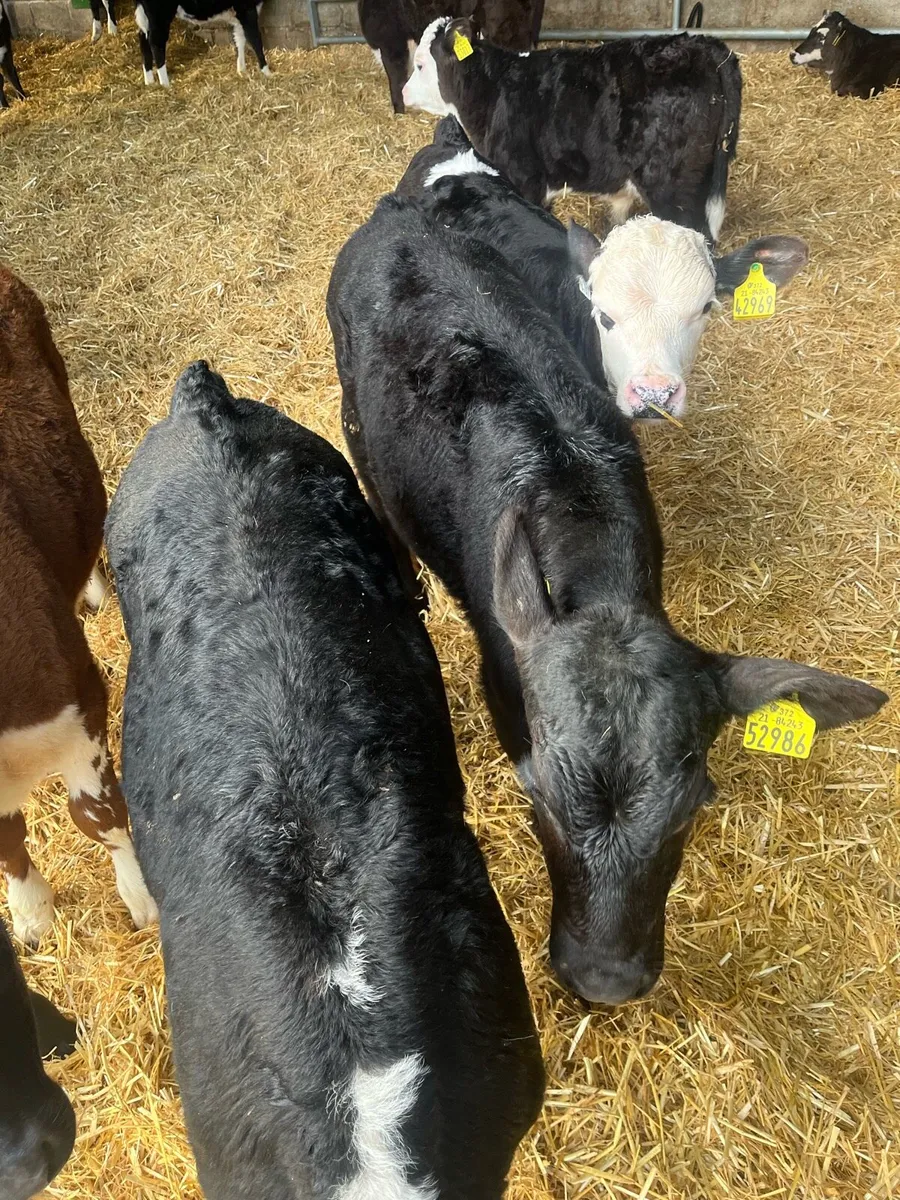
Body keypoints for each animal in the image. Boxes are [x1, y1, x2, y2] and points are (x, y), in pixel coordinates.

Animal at [133, 0, 269, 87]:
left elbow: (240, 38)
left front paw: (242, 70)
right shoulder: (246, 8)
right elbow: (255, 39)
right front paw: (267, 72)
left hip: (145, 14)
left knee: (143, 38)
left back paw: (149, 81)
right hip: (160, 13)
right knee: (156, 42)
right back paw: (165, 85)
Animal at [402, 18, 742, 244]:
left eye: (419, 64)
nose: (403, 93)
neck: (493, 90)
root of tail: (706, 46)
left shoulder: (524, 179)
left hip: (673, 187)